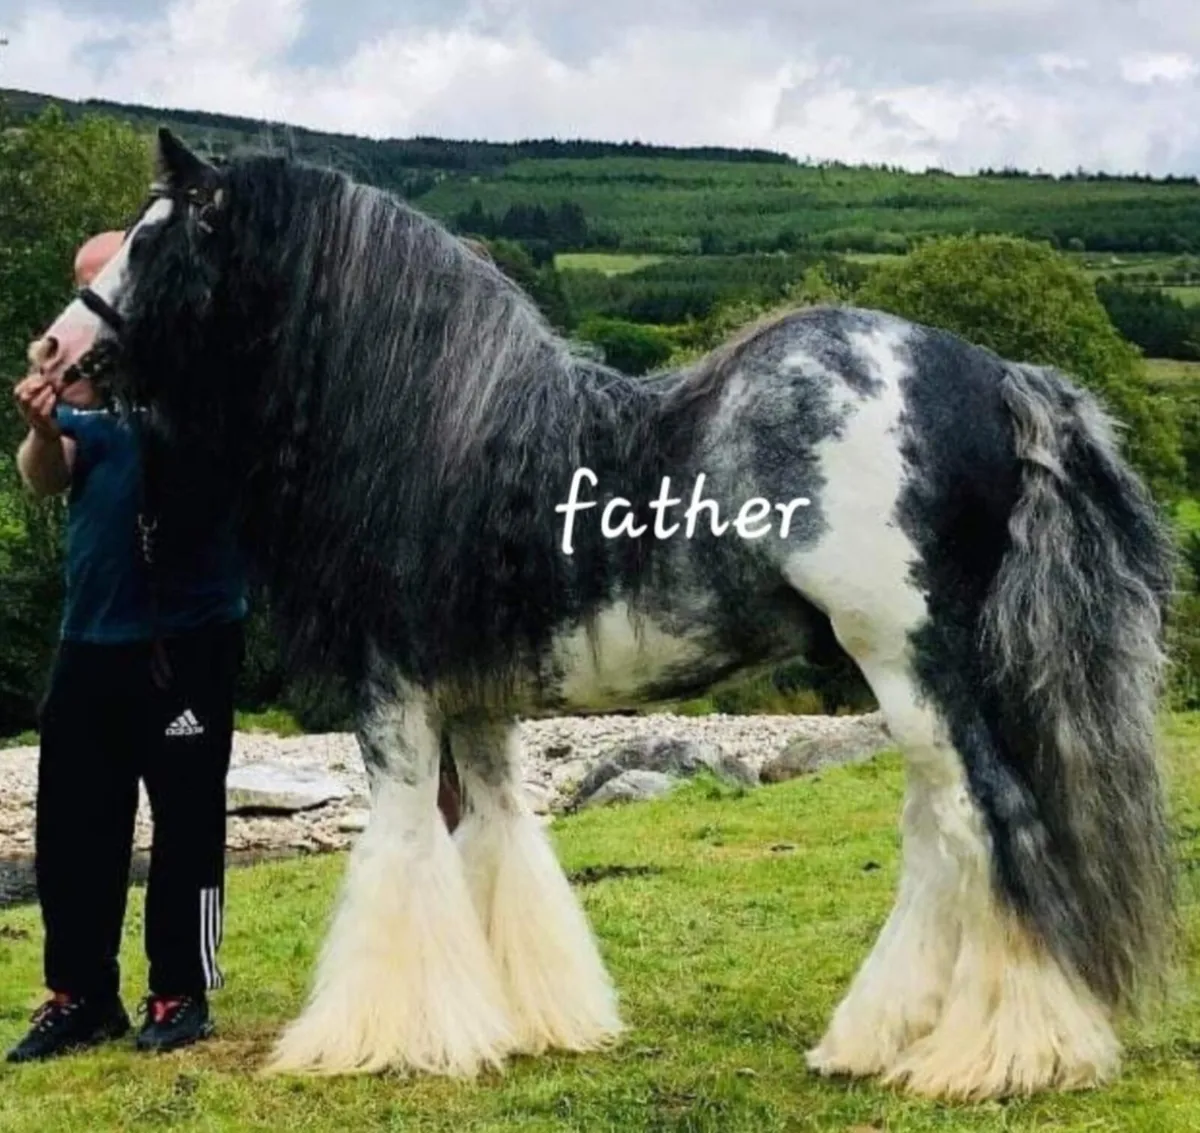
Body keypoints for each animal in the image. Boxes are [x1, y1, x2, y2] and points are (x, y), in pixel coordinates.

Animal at [29, 127, 1177, 1101]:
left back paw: (1002, 1053)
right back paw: (881, 1038)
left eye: (153, 241)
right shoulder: (478, 696)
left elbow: (400, 852)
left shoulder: (395, 688)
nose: (48, 354)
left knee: (984, 823)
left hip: (911, 662)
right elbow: (497, 838)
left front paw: (377, 1037)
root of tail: (999, 376)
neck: (437, 428)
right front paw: (534, 1020)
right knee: (941, 832)